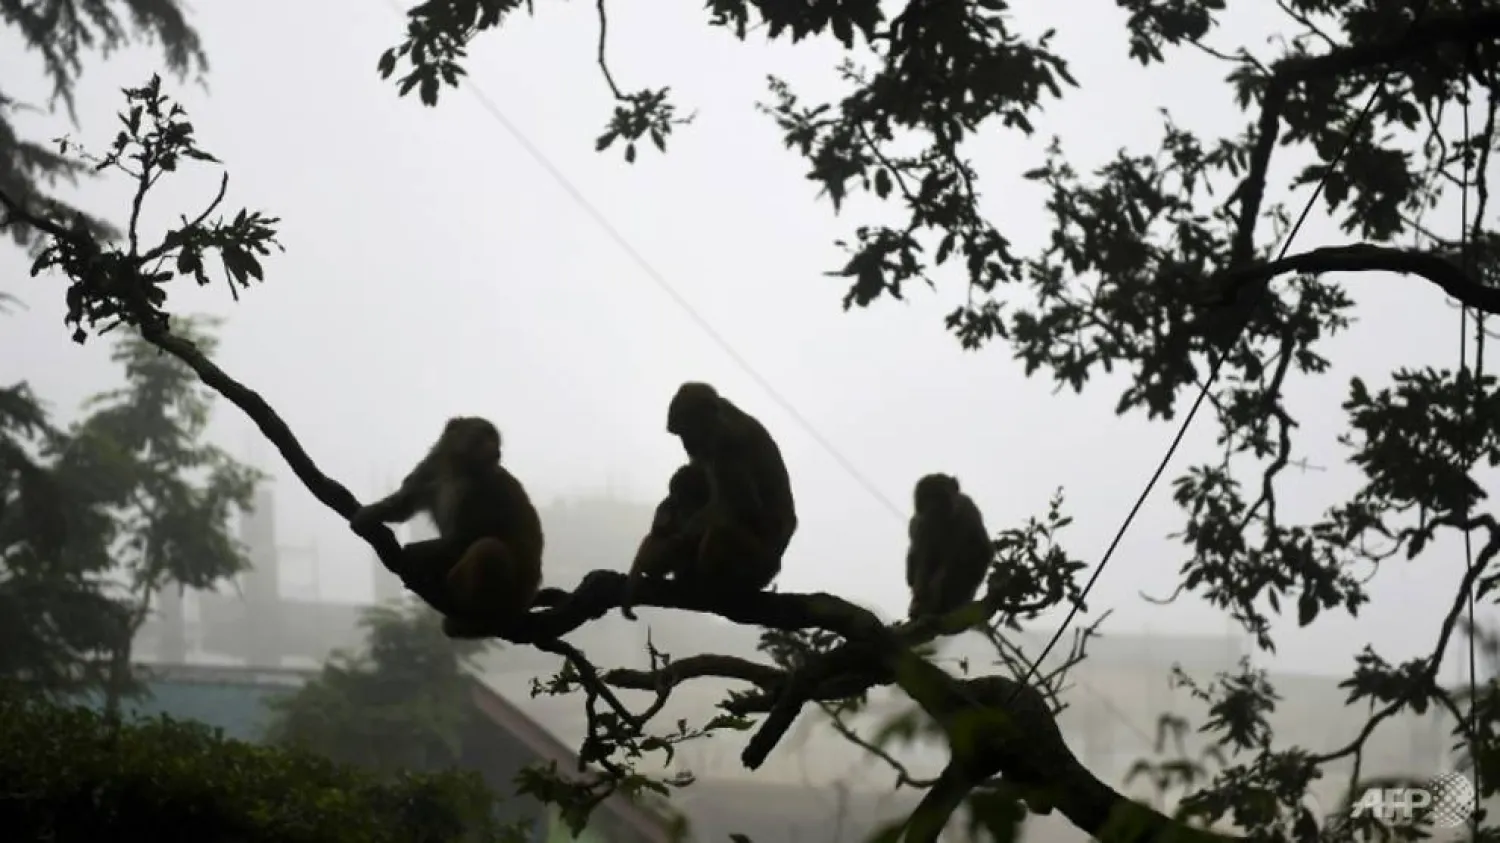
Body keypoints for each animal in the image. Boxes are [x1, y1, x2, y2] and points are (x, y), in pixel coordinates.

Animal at [350, 417, 544, 637]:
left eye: (495, 440)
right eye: (483, 435)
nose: (496, 451)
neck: (458, 469)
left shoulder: (483, 488)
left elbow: (464, 538)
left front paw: (412, 553)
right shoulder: (432, 468)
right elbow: (404, 505)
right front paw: (368, 514)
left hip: (509, 598)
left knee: (488, 549)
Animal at [905, 473, 992, 621]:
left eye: (939, 496)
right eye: (927, 497)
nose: (933, 506)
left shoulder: (968, 508)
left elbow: (981, 551)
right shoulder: (921, 523)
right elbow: (918, 560)